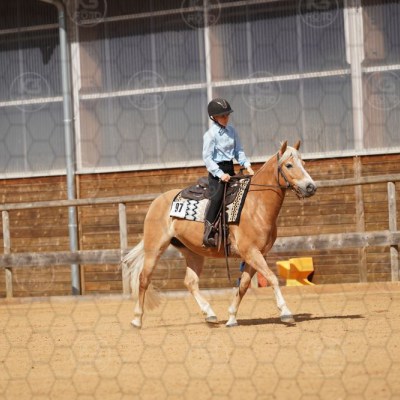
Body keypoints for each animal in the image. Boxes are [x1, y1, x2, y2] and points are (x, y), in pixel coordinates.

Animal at [122, 140, 317, 328]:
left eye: (304, 164)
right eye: (289, 165)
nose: (311, 187)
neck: (256, 205)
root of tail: (157, 201)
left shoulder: (256, 255)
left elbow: (243, 285)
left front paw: (231, 318)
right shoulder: (251, 252)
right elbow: (272, 278)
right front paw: (286, 313)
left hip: (192, 252)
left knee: (190, 282)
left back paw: (210, 315)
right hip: (154, 248)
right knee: (144, 279)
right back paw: (137, 320)